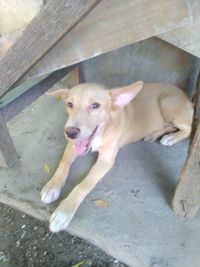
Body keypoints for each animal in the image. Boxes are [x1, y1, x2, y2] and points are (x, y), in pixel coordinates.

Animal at [41, 82, 194, 232]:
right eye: (70, 104)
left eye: (95, 105)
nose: (70, 132)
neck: (104, 130)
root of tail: (187, 98)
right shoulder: (72, 146)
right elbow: (63, 164)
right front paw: (52, 186)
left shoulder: (106, 161)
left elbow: (83, 185)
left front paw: (64, 212)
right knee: (169, 126)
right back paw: (154, 134)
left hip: (167, 104)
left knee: (188, 128)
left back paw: (171, 137)